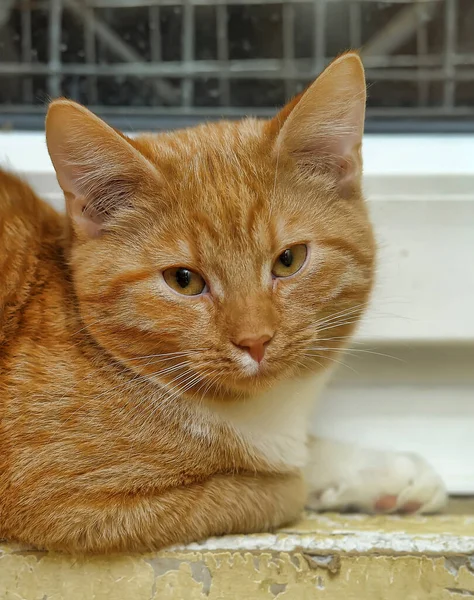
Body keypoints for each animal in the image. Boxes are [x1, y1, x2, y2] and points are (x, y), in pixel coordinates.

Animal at [0, 55, 446, 552]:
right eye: (185, 280)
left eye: (289, 260)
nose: (255, 341)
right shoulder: (68, 505)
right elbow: (281, 485)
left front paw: (378, 472)